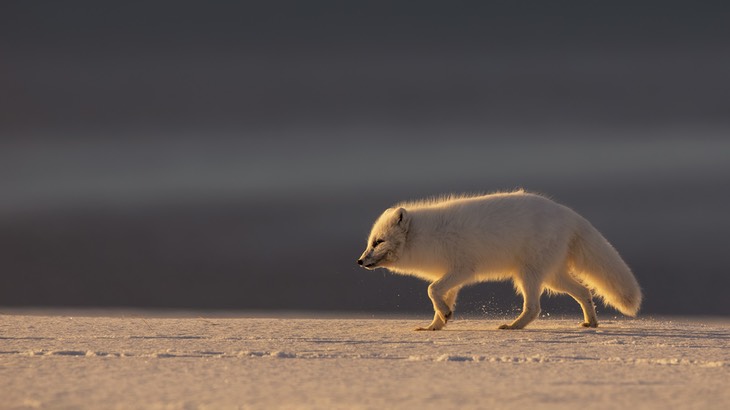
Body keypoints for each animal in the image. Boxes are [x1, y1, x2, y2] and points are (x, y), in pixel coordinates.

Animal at [356, 191, 640, 330]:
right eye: (370, 242)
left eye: (378, 242)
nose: (359, 261)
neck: (425, 237)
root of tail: (568, 213)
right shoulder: (453, 276)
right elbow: (440, 297)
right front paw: (436, 325)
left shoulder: (463, 269)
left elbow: (431, 289)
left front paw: (443, 316)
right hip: (553, 276)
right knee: (584, 291)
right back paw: (591, 323)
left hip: (529, 274)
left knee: (534, 307)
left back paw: (513, 326)